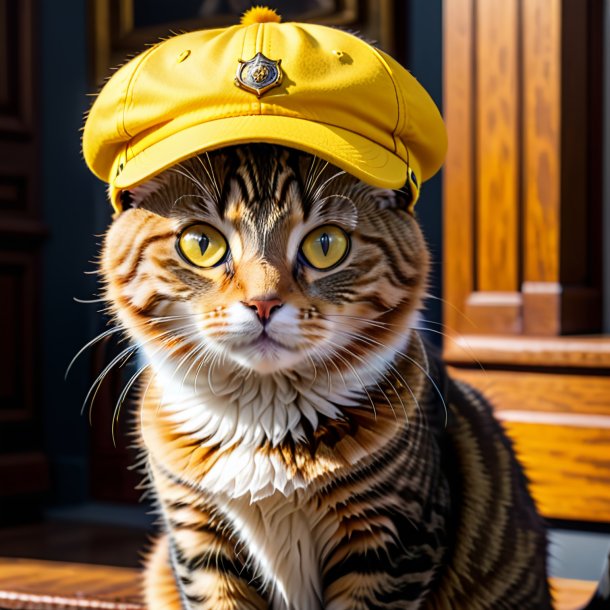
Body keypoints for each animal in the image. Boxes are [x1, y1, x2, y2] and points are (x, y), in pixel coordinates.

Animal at [100, 144, 604, 608]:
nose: (263, 303)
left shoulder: (389, 545)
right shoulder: (200, 544)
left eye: (326, 245)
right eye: (201, 243)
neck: (265, 422)